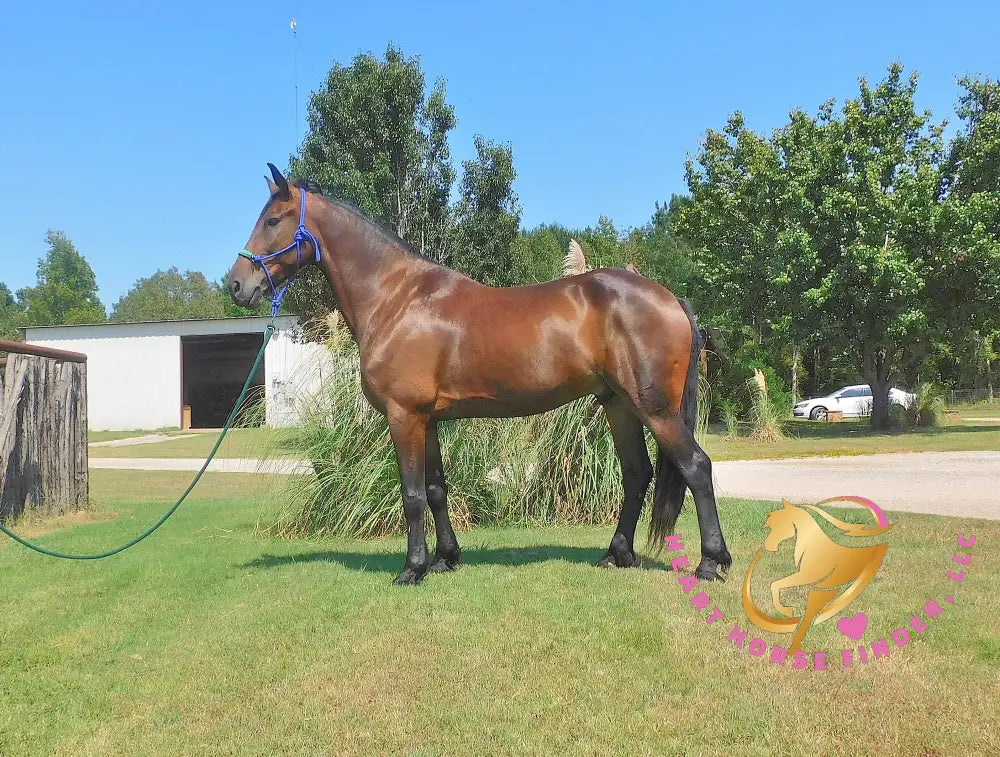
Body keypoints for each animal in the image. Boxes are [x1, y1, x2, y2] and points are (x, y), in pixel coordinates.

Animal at [227, 163, 731, 585]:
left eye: (273, 220)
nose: (236, 285)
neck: (396, 298)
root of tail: (668, 297)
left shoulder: (404, 416)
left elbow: (411, 494)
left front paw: (412, 569)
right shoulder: (427, 419)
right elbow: (435, 489)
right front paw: (445, 559)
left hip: (655, 408)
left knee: (696, 466)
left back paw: (711, 562)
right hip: (618, 403)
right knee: (636, 473)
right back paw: (616, 553)